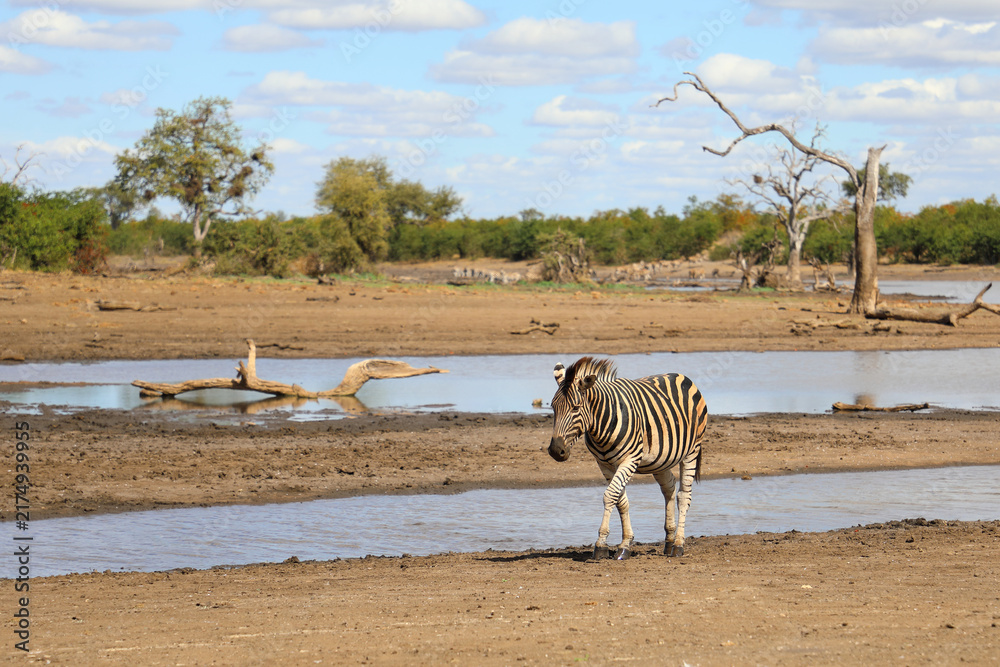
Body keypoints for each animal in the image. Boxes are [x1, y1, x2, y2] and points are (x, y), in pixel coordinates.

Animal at [548, 357, 708, 560]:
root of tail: (682, 376)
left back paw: (678, 544)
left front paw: (601, 544)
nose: (555, 451)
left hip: (692, 450)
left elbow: (610, 496)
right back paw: (669, 541)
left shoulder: (630, 459)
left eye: (576, 408)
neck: (601, 424)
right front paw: (625, 544)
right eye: (553, 407)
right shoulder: (605, 464)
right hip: (661, 459)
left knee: (683, 496)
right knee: (669, 488)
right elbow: (620, 500)